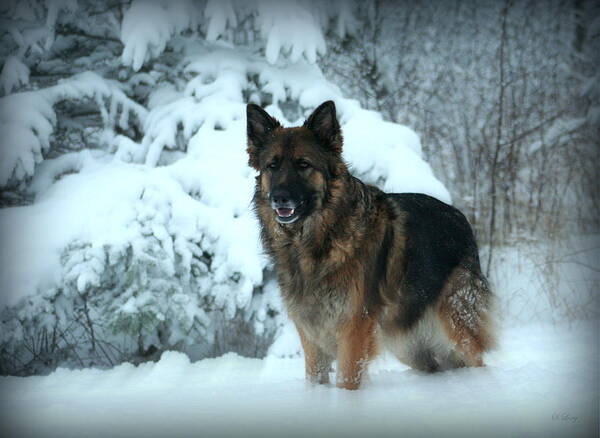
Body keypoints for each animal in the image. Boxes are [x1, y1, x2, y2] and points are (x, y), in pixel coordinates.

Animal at [246, 101, 494, 388]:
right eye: (272, 166)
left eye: (303, 164)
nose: (279, 198)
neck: (316, 240)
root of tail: (461, 218)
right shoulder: (311, 334)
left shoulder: (353, 328)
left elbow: (346, 381)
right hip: (408, 344)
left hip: (455, 324)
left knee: (476, 359)